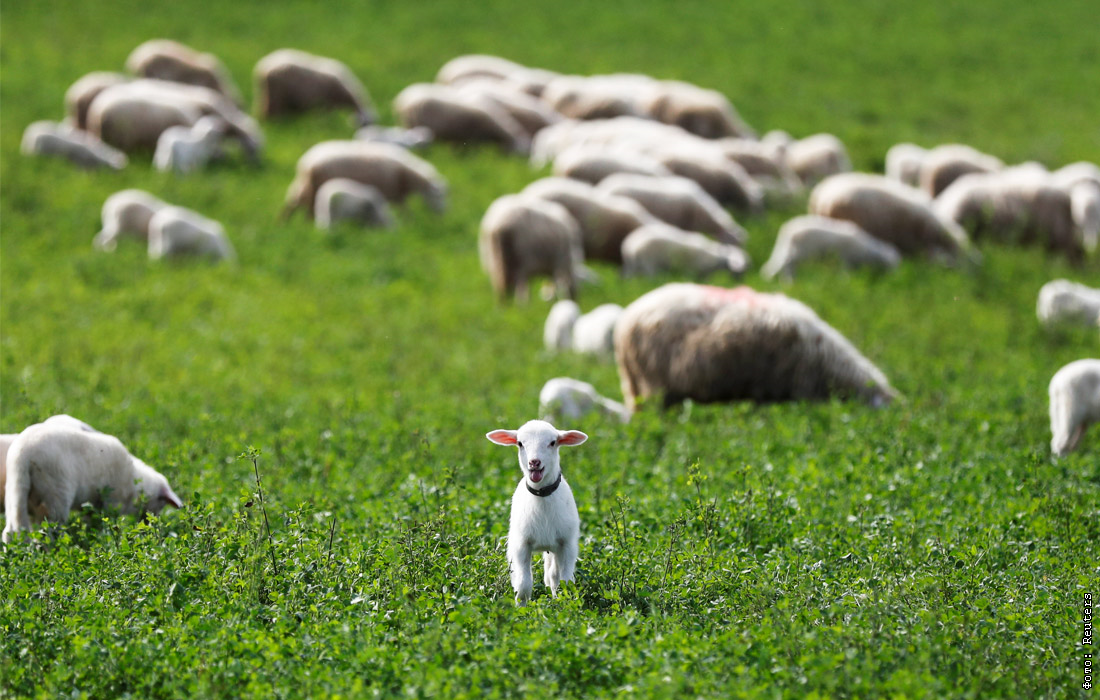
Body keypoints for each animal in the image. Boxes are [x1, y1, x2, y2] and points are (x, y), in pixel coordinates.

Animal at [4, 418, 180, 543]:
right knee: (48, 532)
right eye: (162, 503)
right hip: (56, 496)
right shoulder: (113, 502)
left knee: (11, 531)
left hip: (14, 492)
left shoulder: (91, 505)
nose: (150, 524)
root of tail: (23, 456)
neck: (136, 483)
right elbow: (108, 521)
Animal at [488, 418, 589, 603]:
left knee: (552, 574)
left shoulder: (567, 544)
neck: (542, 498)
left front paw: (565, 604)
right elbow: (523, 584)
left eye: (552, 442)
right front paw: (521, 606)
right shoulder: (521, 545)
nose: (534, 462)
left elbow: (565, 581)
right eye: (520, 443)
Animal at [624, 224, 752, 278]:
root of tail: (633, 249)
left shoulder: (703, 273)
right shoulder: (694, 269)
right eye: (736, 262)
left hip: (632, 267)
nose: (740, 279)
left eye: (746, 263)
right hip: (649, 264)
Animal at [765, 214, 902, 280]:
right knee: (786, 265)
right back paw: (789, 282)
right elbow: (845, 272)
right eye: (890, 265)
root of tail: (787, 229)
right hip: (798, 252)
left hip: (790, 251)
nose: (894, 277)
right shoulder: (845, 259)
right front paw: (845, 280)